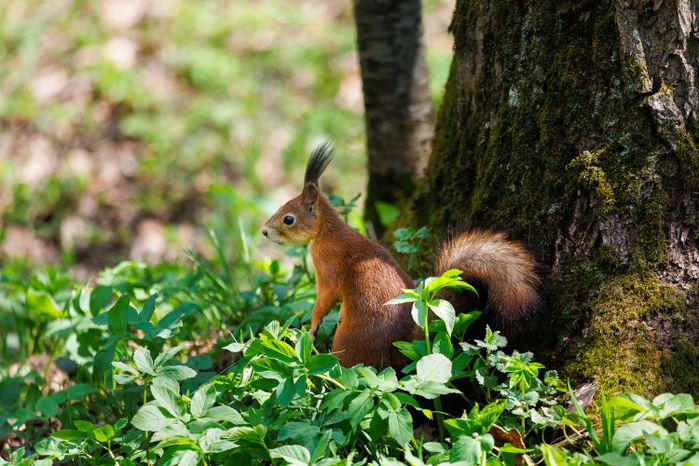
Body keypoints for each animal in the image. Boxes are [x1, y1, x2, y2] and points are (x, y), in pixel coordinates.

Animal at [262, 143, 541, 369]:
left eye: (289, 219)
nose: (264, 231)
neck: (326, 232)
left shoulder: (328, 268)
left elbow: (324, 299)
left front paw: (311, 327)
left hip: (350, 340)